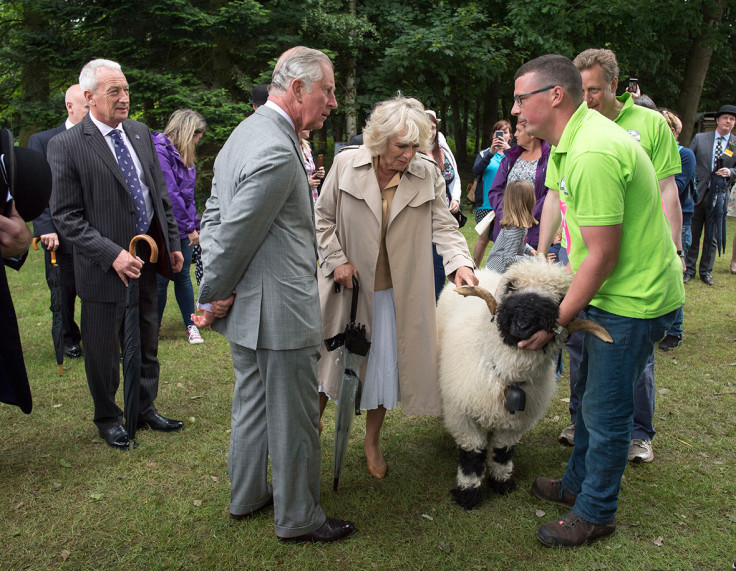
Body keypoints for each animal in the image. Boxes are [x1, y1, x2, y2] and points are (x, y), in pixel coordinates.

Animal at [436, 260, 608, 510]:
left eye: (560, 298)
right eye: (511, 287)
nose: (523, 324)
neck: (507, 373)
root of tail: (480, 271)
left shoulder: (516, 421)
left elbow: (502, 451)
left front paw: (502, 483)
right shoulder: (462, 415)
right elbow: (472, 454)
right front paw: (468, 494)